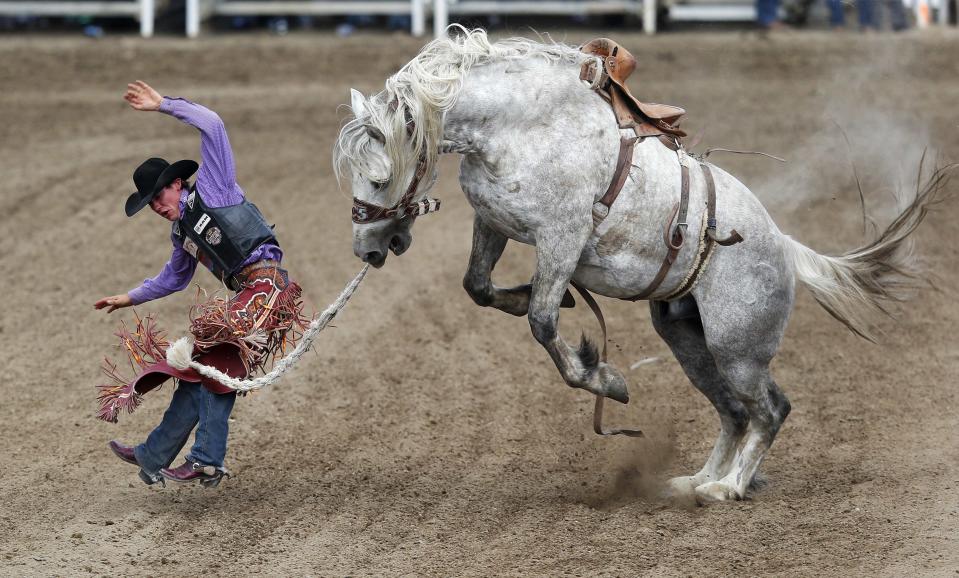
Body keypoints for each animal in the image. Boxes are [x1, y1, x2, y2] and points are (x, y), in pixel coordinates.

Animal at [336, 29, 944, 502]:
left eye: (378, 176)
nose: (368, 250)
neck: (519, 126)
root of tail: (784, 245)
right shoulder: (494, 222)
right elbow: (477, 285)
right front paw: (533, 295)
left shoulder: (562, 236)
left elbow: (543, 323)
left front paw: (604, 376)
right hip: (686, 338)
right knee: (734, 411)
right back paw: (698, 480)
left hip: (737, 345)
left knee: (771, 409)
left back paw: (727, 487)